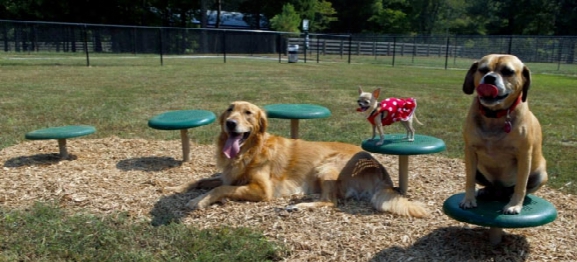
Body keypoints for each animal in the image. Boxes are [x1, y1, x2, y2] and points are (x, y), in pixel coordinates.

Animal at [168, 100, 428, 217]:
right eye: (230, 110)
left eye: (248, 113)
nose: (230, 123)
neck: (250, 151)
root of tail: (382, 170)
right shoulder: (227, 176)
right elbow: (202, 180)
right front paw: (177, 187)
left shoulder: (262, 190)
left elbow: (219, 189)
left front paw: (199, 201)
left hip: (326, 166)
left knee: (331, 202)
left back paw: (299, 205)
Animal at [460, 54, 544, 214]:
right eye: (483, 69)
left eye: (508, 71)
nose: (489, 78)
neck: (495, 116)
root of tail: (500, 191)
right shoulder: (470, 151)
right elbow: (469, 179)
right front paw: (468, 200)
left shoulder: (524, 155)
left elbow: (521, 185)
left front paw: (514, 205)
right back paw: (487, 191)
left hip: (540, 175)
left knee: (521, 188)